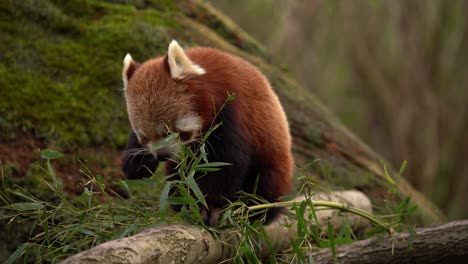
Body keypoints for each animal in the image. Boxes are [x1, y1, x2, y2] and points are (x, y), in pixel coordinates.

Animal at [122, 40, 294, 226]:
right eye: (144, 137)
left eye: (170, 131)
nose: (162, 156)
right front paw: (136, 166)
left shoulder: (230, 113)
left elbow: (224, 164)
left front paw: (209, 207)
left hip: (272, 161)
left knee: (265, 186)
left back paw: (252, 214)